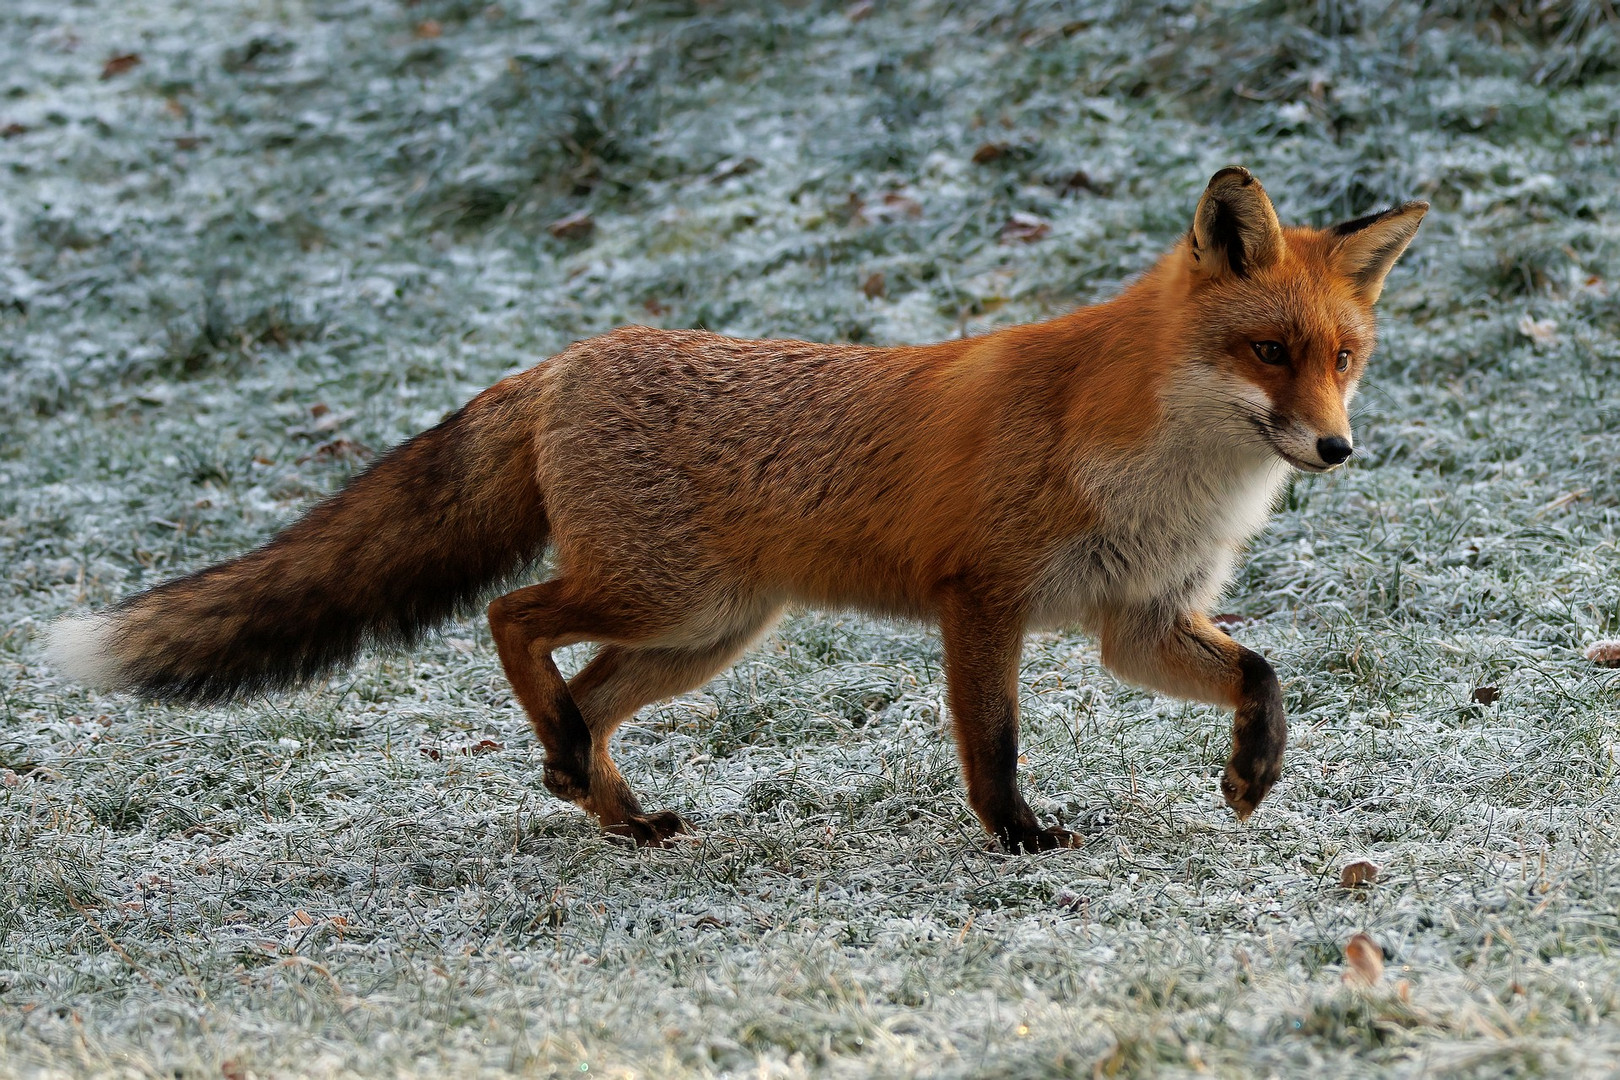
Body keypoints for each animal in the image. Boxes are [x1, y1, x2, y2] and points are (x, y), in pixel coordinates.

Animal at [44, 169, 1425, 854]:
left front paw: (1253, 773)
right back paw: (576, 769)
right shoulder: (982, 601)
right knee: (511, 616)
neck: (1166, 467)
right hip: (664, 597)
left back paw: (602, 799)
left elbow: (1263, 674)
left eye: (1343, 357)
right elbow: (993, 747)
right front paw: (1019, 840)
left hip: (702, 633)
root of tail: (566, 358)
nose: (1337, 447)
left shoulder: (1136, 620)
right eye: (1267, 352)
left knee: (581, 695)